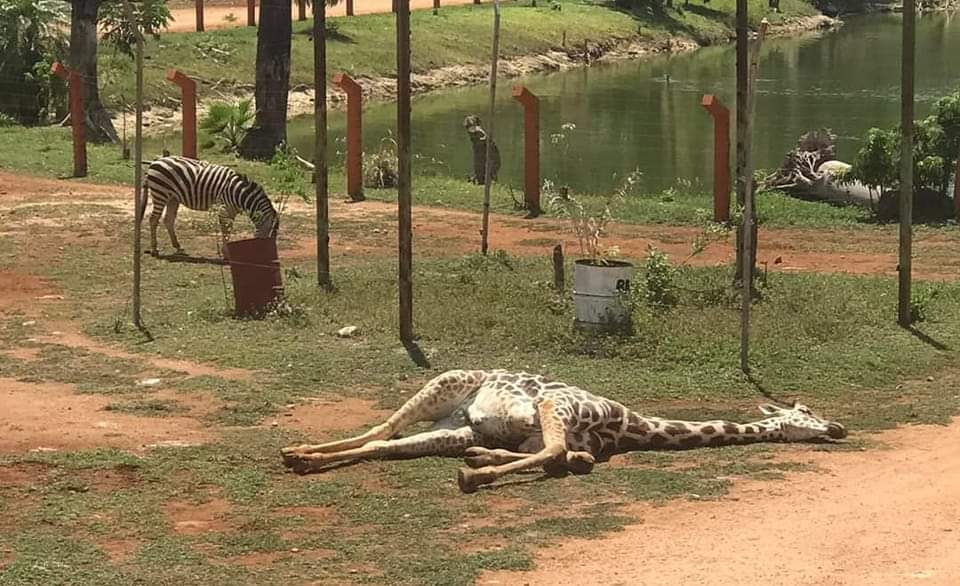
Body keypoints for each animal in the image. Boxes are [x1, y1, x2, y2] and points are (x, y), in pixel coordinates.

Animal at [139, 155, 282, 256]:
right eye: (269, 237)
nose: (268, 254)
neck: (240, 194)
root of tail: (155, 162)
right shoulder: (224, 209)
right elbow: (226, 230)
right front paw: (226, 254)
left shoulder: (232, 211)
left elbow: (228, 229)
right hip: (160, 193)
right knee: (153, 219)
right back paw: (155, 249)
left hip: (173, 198)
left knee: (168, 219)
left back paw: (178, 247)